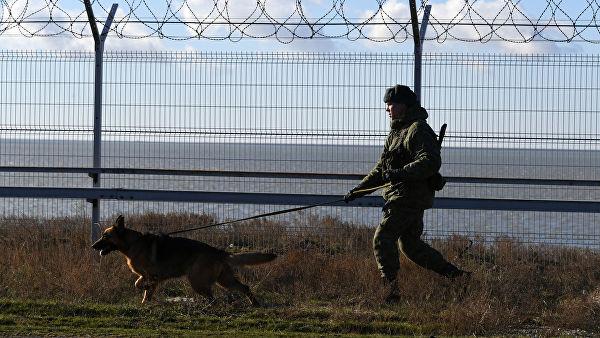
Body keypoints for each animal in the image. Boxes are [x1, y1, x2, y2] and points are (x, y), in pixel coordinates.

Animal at [91, 217, 276, 306]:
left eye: (106, 236)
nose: (93, 246)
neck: (133, 243)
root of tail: (218, 251)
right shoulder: (149, 276)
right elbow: (143, 288)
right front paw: (145, 302)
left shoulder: (153, 276)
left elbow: (141, 286)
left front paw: (144, 292)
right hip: (224, 280)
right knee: (244, 287)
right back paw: (255, 304)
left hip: (197, 281)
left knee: (213, 298)